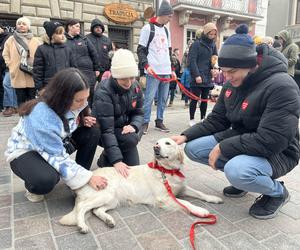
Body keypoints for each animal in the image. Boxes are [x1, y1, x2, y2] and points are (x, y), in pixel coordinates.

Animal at [59, 137, 223, 232]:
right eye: (157, 143)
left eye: (167, 143)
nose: (156, 148)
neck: (166, 170)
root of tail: (87, 177)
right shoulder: (164, 198)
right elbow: (185, 202)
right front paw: (200, 211)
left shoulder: (181, 188)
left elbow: (200, 193)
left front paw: (213, 198)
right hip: (106, 193)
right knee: (82, 207)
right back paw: (82, 225)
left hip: (113, 199)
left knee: (96, 210)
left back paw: (108, 220)